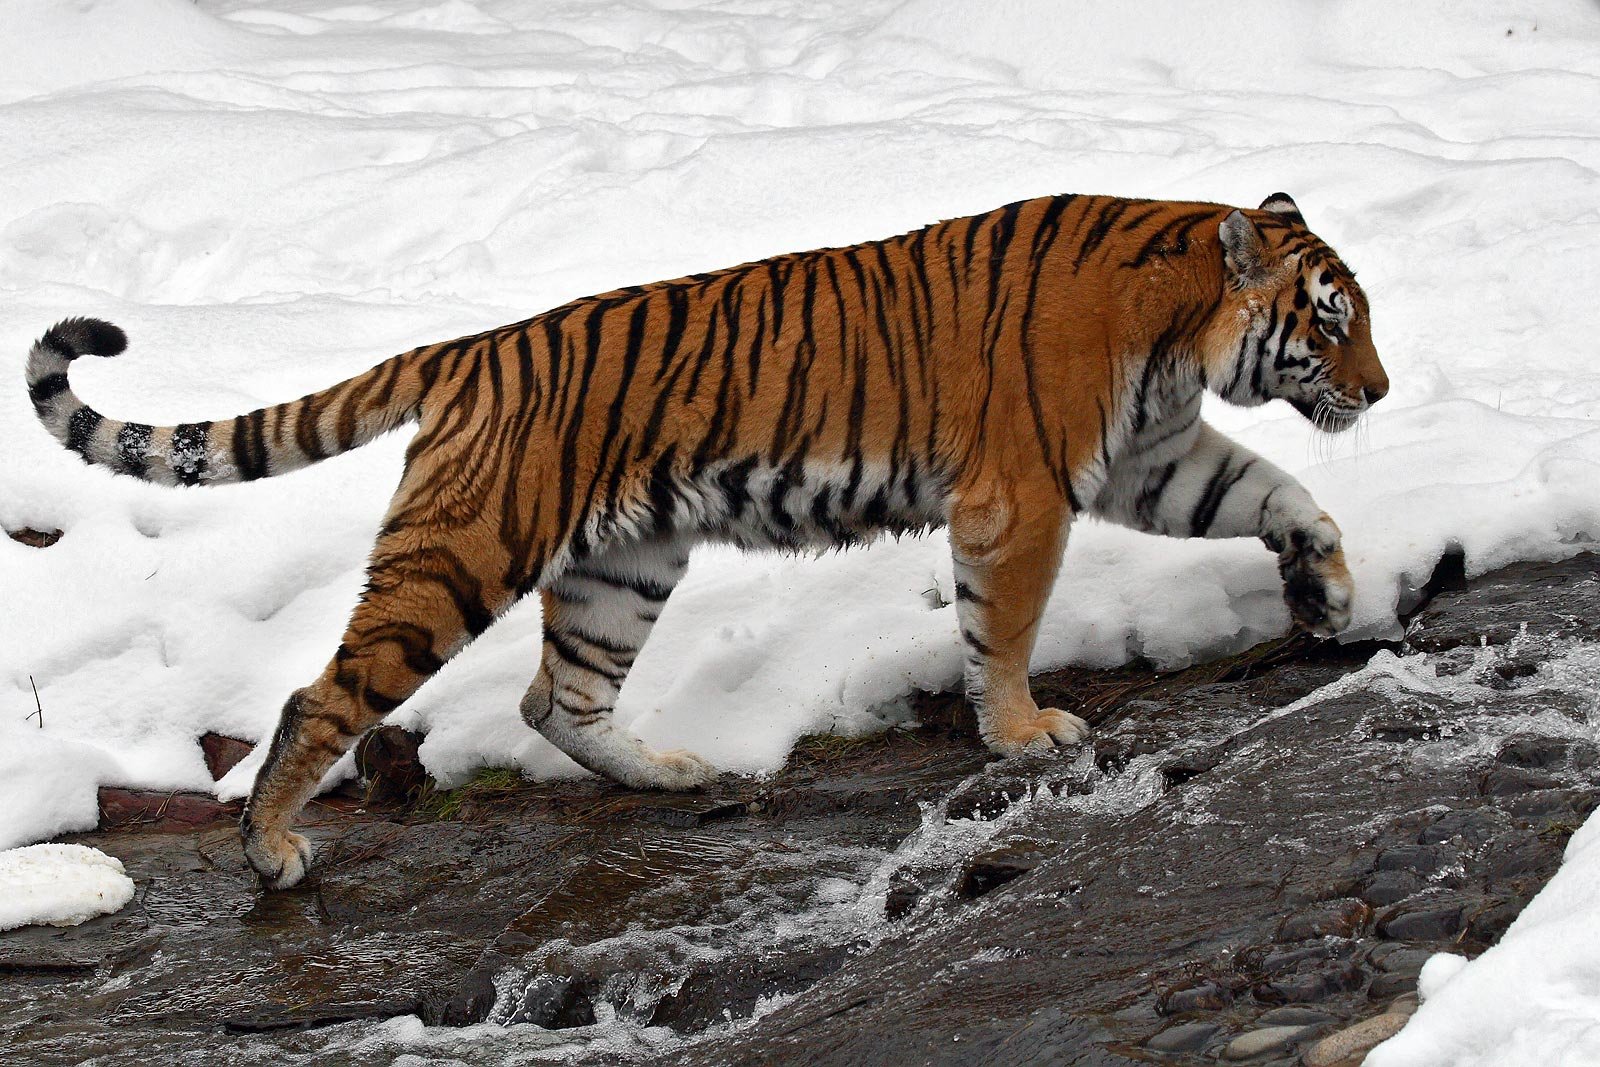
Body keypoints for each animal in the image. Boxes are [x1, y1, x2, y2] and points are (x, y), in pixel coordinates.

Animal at [21, 194, 1388, 895]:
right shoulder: (1023, 493)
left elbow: (1277, 492)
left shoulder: (1156, 456)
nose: (1377, 391)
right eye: (1329, 323)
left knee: (554, 698)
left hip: (624, 565)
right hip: (462, 555)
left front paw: (1328, 588)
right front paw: (1023, 731)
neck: (1180, 326)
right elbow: (1002, 621)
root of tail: (468, 349)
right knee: (322, 695)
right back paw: (271, 848)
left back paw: (670, 774)